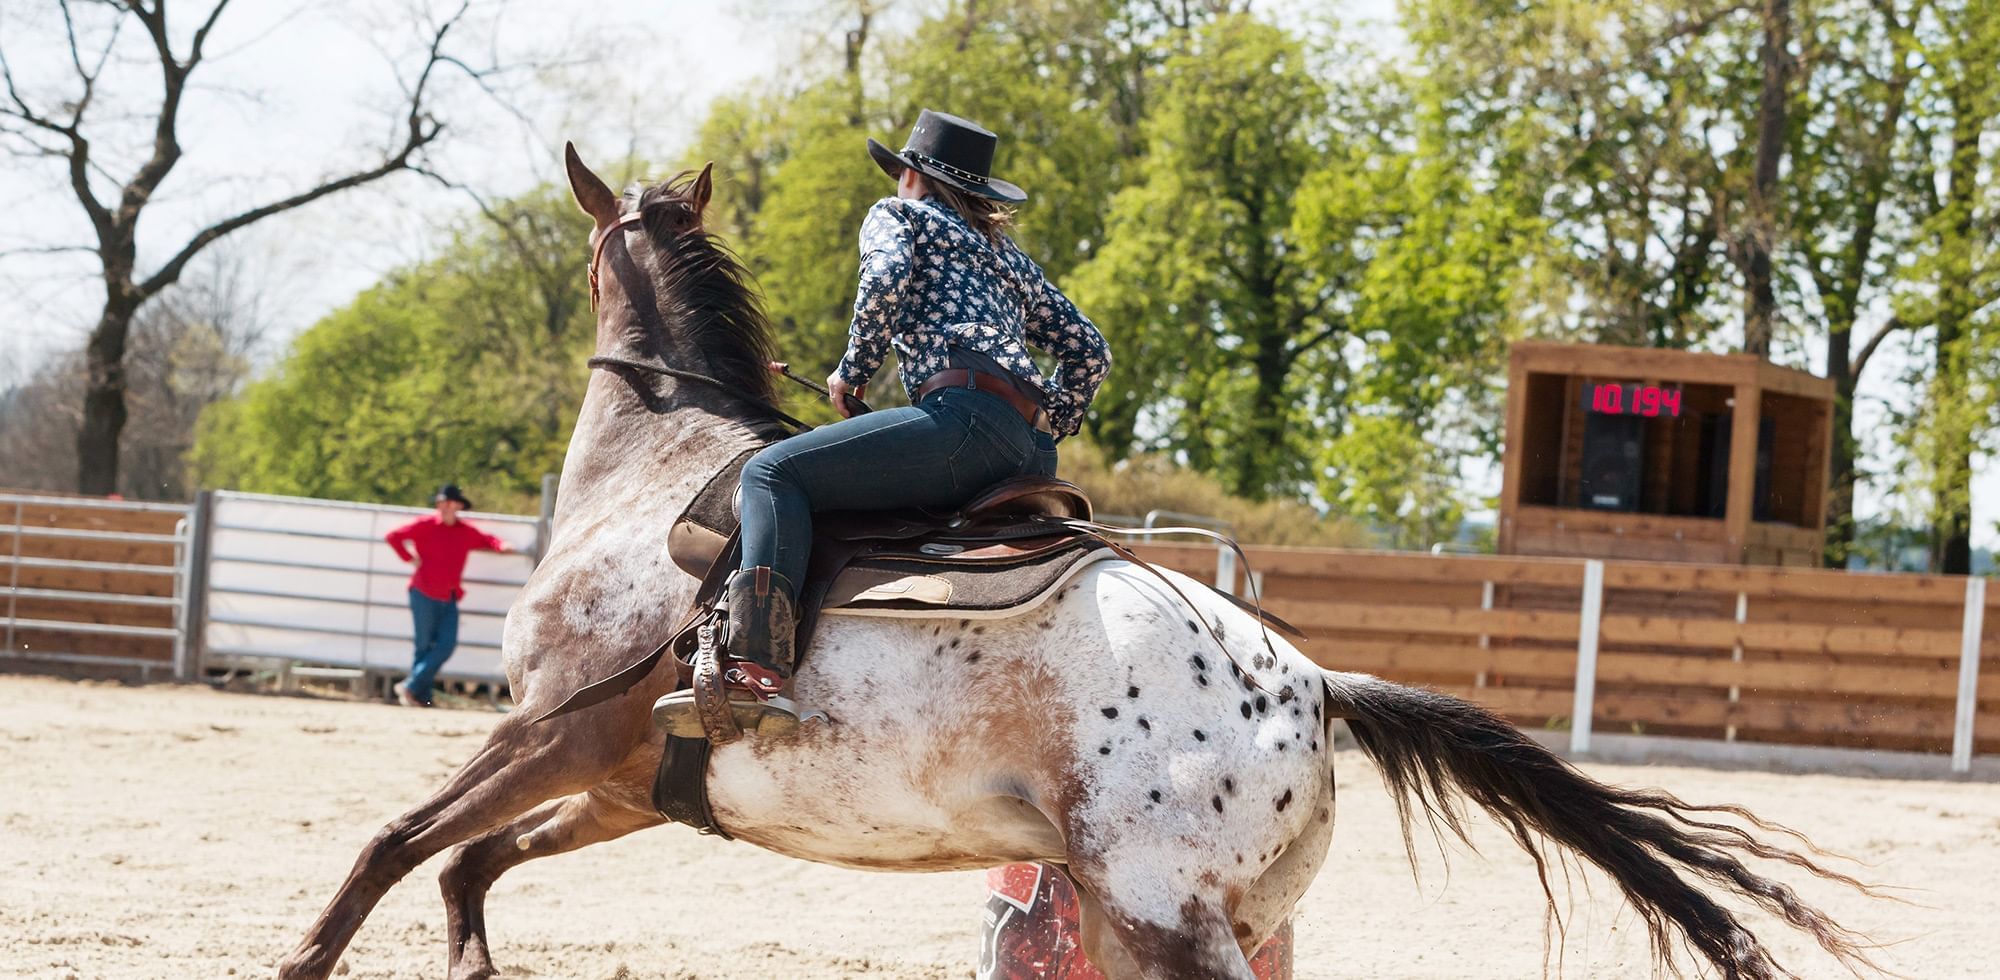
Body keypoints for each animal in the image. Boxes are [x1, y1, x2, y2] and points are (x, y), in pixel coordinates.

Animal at [278, 147, 1872, 980]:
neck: (653, 478)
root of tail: (1316, 687)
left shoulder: (548, 734)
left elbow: (397, 840)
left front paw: (304, 955)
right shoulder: (622, 782)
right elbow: (468, 862)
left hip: (1163, 916)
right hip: (1225, 919)